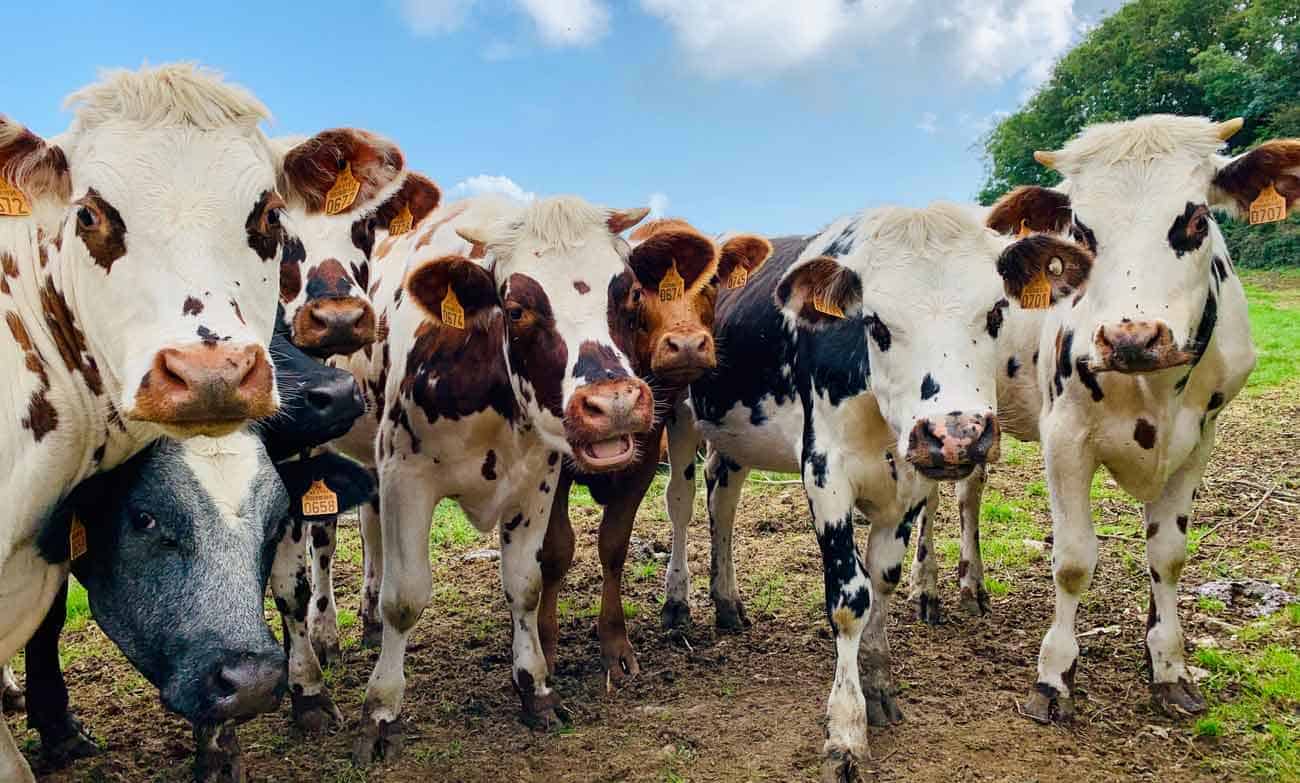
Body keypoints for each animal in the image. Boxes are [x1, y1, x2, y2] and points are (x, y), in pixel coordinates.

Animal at [325, 191, 656, 763]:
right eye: (517, 308)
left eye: (631, 293)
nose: (613, 404)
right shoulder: (405, 476)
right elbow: (404, 598)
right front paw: (380, 713)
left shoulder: (538, 480)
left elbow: (525, 585)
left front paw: (536, 689)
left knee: (369, 531)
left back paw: (365, 619)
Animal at [538, 219, 772, 686]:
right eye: (637, 291)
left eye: (712, 282)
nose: (687, 345)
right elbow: (556, 549)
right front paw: (545, 650)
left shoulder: (649, 451)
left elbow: (616, 544)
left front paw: (616, 646)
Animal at [659, 203, 1090, 780]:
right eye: (875, 322)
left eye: (996, 314)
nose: (956, 433)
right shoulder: (824, 473)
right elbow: (850, 598)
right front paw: (845, 730)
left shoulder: (909, 484)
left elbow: (881, 579)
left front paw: (879, 681)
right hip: (679, 415)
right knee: (681, 505)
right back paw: (678, 602)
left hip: (733, 437)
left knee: (722, 501)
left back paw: (727, 603)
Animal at [966, 115, 1290, 724]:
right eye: (1080, 230)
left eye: (1196, 219)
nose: (1130, 338)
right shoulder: (1064, 437)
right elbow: (1072, 560)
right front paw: (1054, 677)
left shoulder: (1199, 442)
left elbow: (1168, 556)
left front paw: (1167, 666)